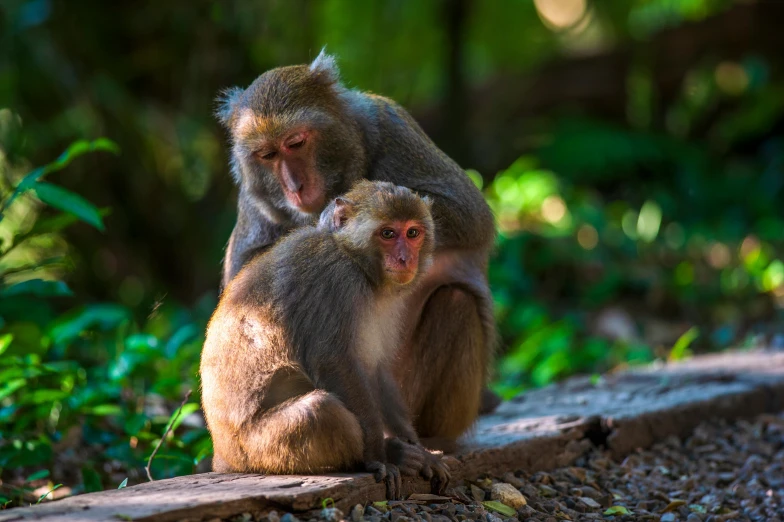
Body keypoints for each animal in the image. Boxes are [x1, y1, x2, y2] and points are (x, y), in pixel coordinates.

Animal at [199, 179, 450, 496]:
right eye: (388, 234)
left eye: (413, 233)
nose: (406, 259)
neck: (356, 261)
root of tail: (222, 456)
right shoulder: (335, 279)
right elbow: (333, 361)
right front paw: (379, 457)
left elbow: (376, 370)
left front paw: (417, 448)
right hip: (257, 450)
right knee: (320, 411)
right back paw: (390, 454)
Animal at [214, 48, 496, 448]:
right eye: (267, 155)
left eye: (295, 143)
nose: (294, 186)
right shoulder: (252, 199)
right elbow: (246, 293)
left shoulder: (390, 124)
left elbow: (471, 215)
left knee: (456, 301)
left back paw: (433, 439)